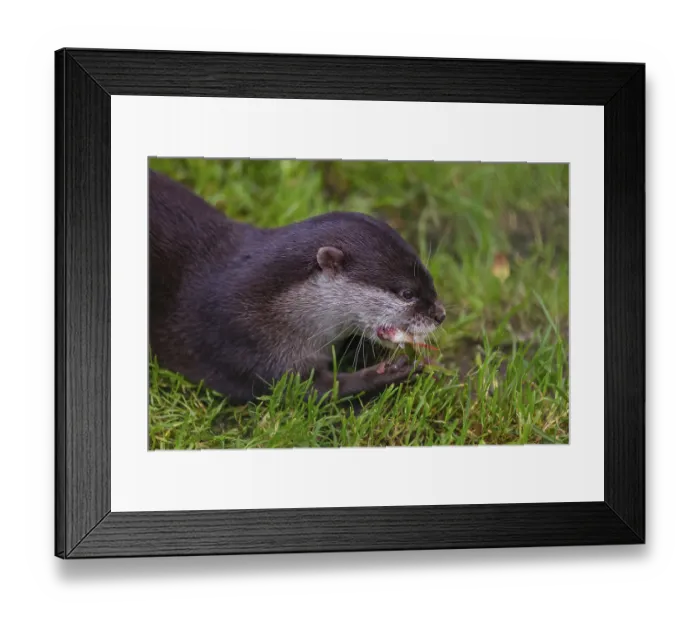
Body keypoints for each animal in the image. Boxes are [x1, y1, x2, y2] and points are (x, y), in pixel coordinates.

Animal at [149, 169, 446, 405]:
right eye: (407, 293)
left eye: (430, 280)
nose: (440, 315)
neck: (268, 305)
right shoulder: (250, 346)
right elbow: (308, 391)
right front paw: (388, 371)